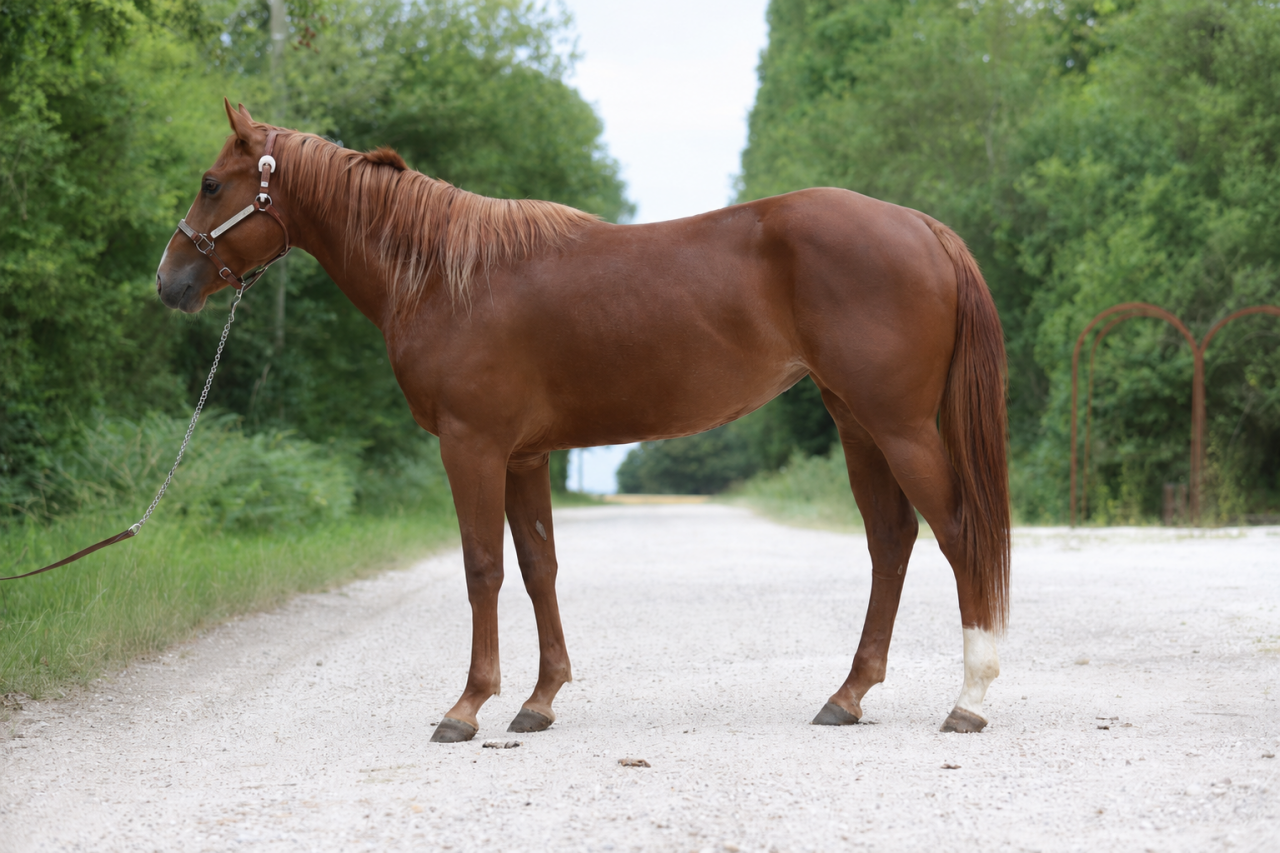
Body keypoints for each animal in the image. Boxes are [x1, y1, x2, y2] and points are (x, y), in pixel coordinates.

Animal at [156, 100, 1010, 742]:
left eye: (211, 183)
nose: (169, 282)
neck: (443, 275)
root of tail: (922, 226)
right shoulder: (525, 456)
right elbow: (539, 566)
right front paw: (539, 700)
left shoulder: (473, 447)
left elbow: (482, 567)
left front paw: (467, 706)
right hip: (857, 422)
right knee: (891, 541)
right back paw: (847, 695)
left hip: (899, 426)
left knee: (958, 533)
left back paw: (970, 700)